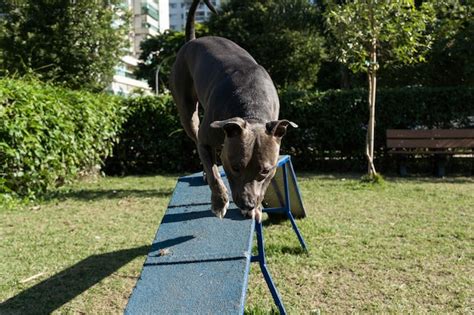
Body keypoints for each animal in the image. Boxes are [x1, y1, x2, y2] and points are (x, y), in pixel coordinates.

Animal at [170, 0, 296, 222]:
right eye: (236, 167)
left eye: (265, 171)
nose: (248, 204)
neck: (252, 109)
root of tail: (193, 41)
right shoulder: (205, 140)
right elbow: (214, 174)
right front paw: (219, 202)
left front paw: (255, 209)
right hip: (187, 112)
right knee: (197, 139)